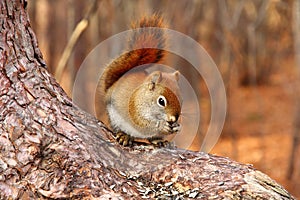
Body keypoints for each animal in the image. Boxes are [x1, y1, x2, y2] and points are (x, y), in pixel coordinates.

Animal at [95, 14, 182, 145]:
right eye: (161, 101)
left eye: (181, 99)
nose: (174, 118)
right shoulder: (134, 110)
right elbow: (144, 124)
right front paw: (162, 126)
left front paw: (177, 127)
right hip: (115, 118)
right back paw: (125, 135)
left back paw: (158, 140)